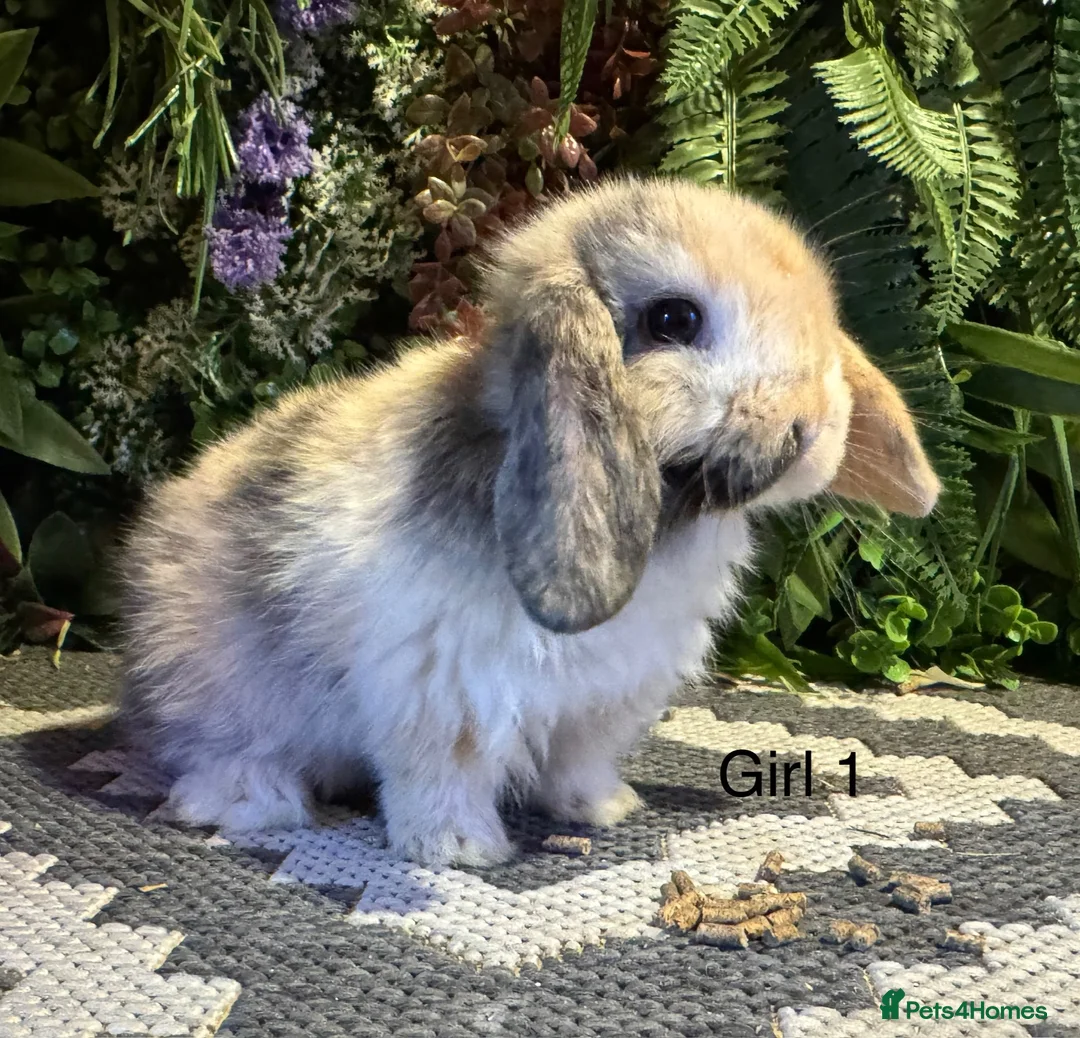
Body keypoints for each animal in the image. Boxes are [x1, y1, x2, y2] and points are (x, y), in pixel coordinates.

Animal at [119, 176, 941, 867]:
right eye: (673, 318)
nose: (814, 425)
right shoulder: (440, 689)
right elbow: (441, 772)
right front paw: (458, 849)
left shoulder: (605, 698)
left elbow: (577, 758)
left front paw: (604, 808)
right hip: (215, 687)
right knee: (213, 750)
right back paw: (253, 800)